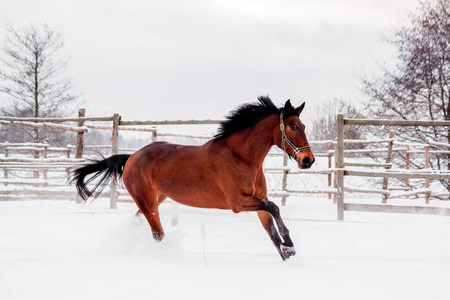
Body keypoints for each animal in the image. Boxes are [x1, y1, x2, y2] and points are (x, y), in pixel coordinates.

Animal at [72, 96, 314, 260]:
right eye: (293, 127)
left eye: (303, 126)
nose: (307, 160)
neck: (241, 157)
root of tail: (131, 157)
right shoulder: (237, 203)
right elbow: (274, 207)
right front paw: (289, 244)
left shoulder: (257, 200)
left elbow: (272, 230)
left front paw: (287, 251)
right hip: (148, 202)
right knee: (158, 233)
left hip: (154, 199)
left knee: (139, 223)